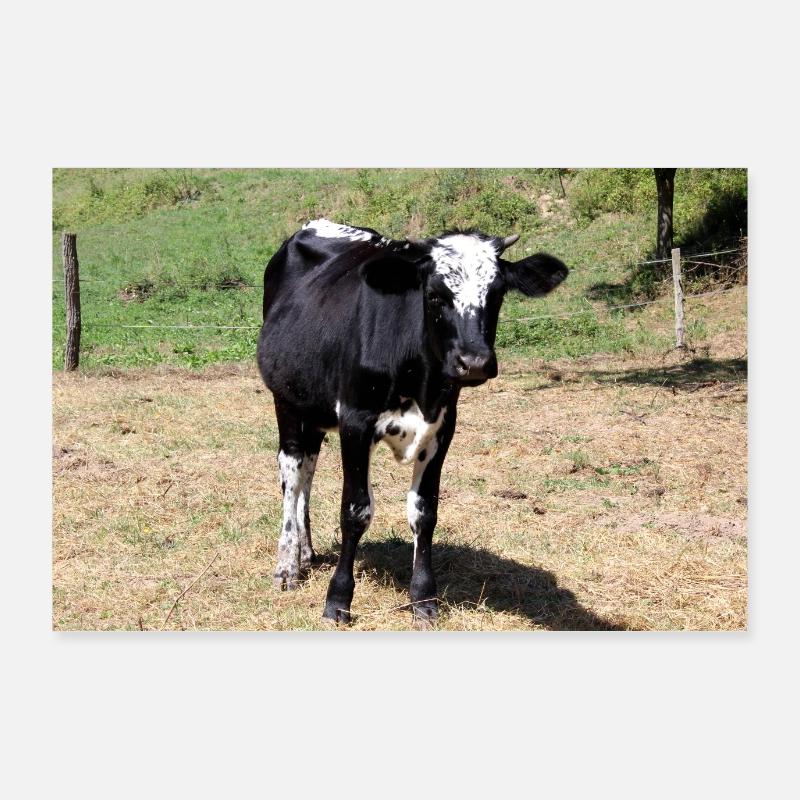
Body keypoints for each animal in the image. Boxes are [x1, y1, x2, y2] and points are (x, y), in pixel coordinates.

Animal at [257, 218, 568, 624]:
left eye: (498, 293)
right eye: (435, 294)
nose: (475, 362)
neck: (419, 381)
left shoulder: (442, 428)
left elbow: (425, 512)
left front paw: (423, 598)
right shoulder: (355, 421)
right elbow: (355, 511)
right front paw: (338, 600)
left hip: (315, 409)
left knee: (308, 468)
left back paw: (306, 553)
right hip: (287, 401)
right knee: (292, 474)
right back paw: (287, 564)